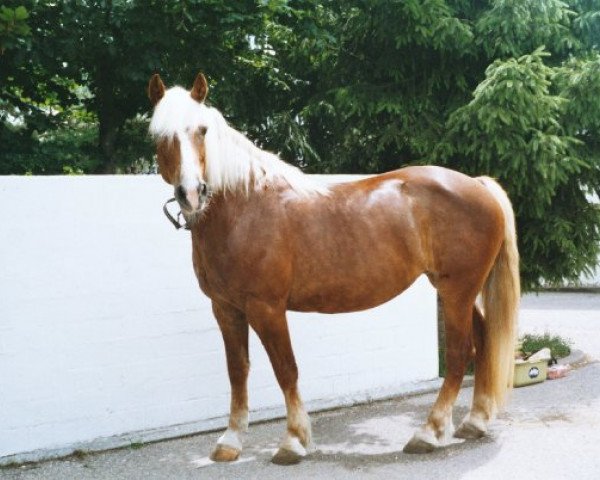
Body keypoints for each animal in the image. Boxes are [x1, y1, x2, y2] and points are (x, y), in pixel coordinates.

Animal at [148, 72, 516, 464]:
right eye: (159, 134)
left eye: (202, 130)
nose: (192, 193)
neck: (244, 207)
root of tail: (478, 184)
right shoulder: (226, 309)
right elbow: (237, 371)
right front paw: (230, 440)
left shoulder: (267, 308)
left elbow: (285, 369)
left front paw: (294, 440)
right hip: (459, 292)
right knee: (483, 341)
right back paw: (474, 422)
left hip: (456, 291)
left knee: (461, 353)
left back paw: (429, 432)